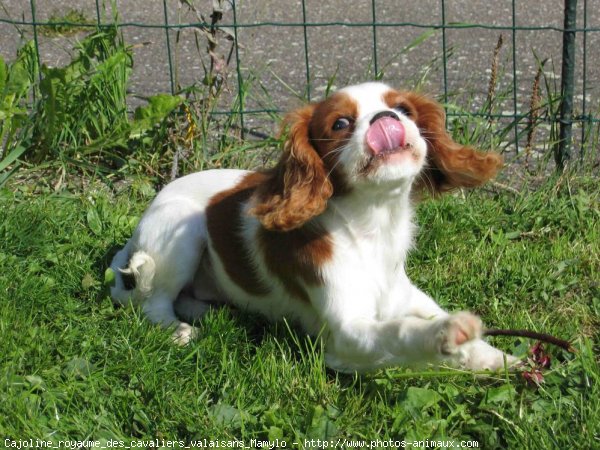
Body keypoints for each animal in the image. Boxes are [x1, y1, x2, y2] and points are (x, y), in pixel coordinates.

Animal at [109, 81, 516, 372]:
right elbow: (399, 332)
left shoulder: (407, 295)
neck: (372, 225)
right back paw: (178, 329)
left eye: (404, 109)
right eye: (340, 123)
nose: (386, 118)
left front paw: (500, 360)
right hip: (181, 232)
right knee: (152, 304)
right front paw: (446, 336)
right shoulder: (344, 337)